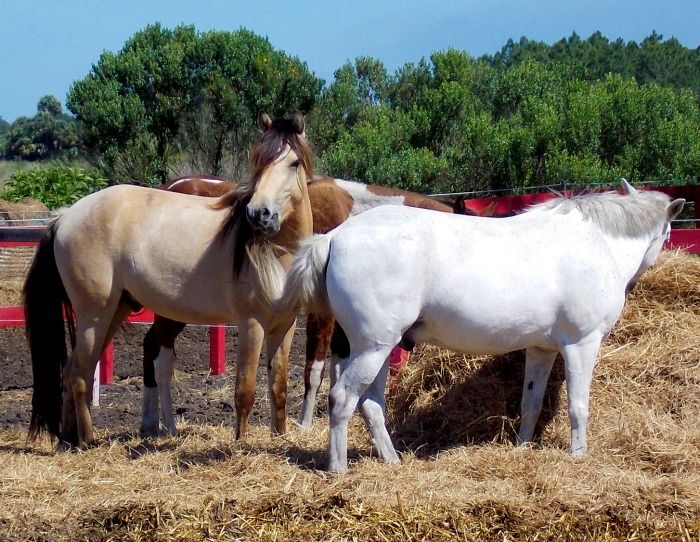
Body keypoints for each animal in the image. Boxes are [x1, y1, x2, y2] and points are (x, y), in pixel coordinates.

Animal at [23, 109, 314, 446]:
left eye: (293, 163)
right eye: (258, 160)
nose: (258, 214)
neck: (279, 253)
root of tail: (65, 216)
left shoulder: (285, 326)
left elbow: (278, 388)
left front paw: (280, 437)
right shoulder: (251, 324)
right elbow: (245, 391)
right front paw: (241, 444)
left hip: (115, 310)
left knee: (75, 369)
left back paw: (68, 441)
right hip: (94, 316)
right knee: (80, 374)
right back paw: (87, 441)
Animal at [139, 175, 474, 438]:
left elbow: (338, 367)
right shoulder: (322, 314)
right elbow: (315, 369)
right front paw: (304, 423)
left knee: (152, 346)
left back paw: (150, 424)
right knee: (161, 355)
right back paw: (167, 426)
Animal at [278, 182, 684, 472]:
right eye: (667, 234)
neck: (596, 242)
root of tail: (336, 236)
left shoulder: (542, 349)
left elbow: (531, 403)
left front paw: (522, 448)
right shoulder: (582, 345)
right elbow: (578, 406)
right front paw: (579, 456)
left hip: (375, 349)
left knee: (372, 403)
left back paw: (392, 461)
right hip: (372, 348)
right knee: (343, 399)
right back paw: (338, 469)